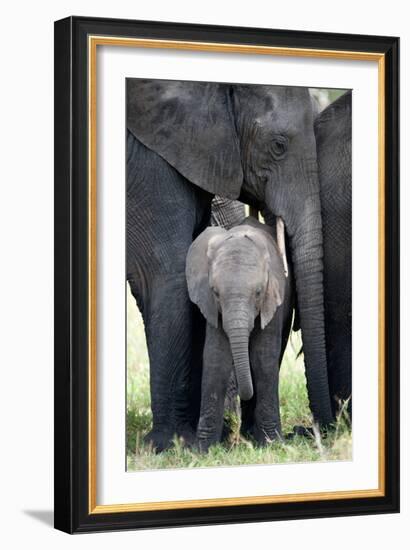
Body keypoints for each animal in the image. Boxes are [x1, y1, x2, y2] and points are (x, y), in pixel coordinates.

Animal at [186, 217, 292, 452]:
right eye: (215, 292)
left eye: (259, 292)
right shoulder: (211, 306)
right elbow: (216, 358)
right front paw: (202, 450)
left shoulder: (274, 298)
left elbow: (263, 359)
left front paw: (272, 444)